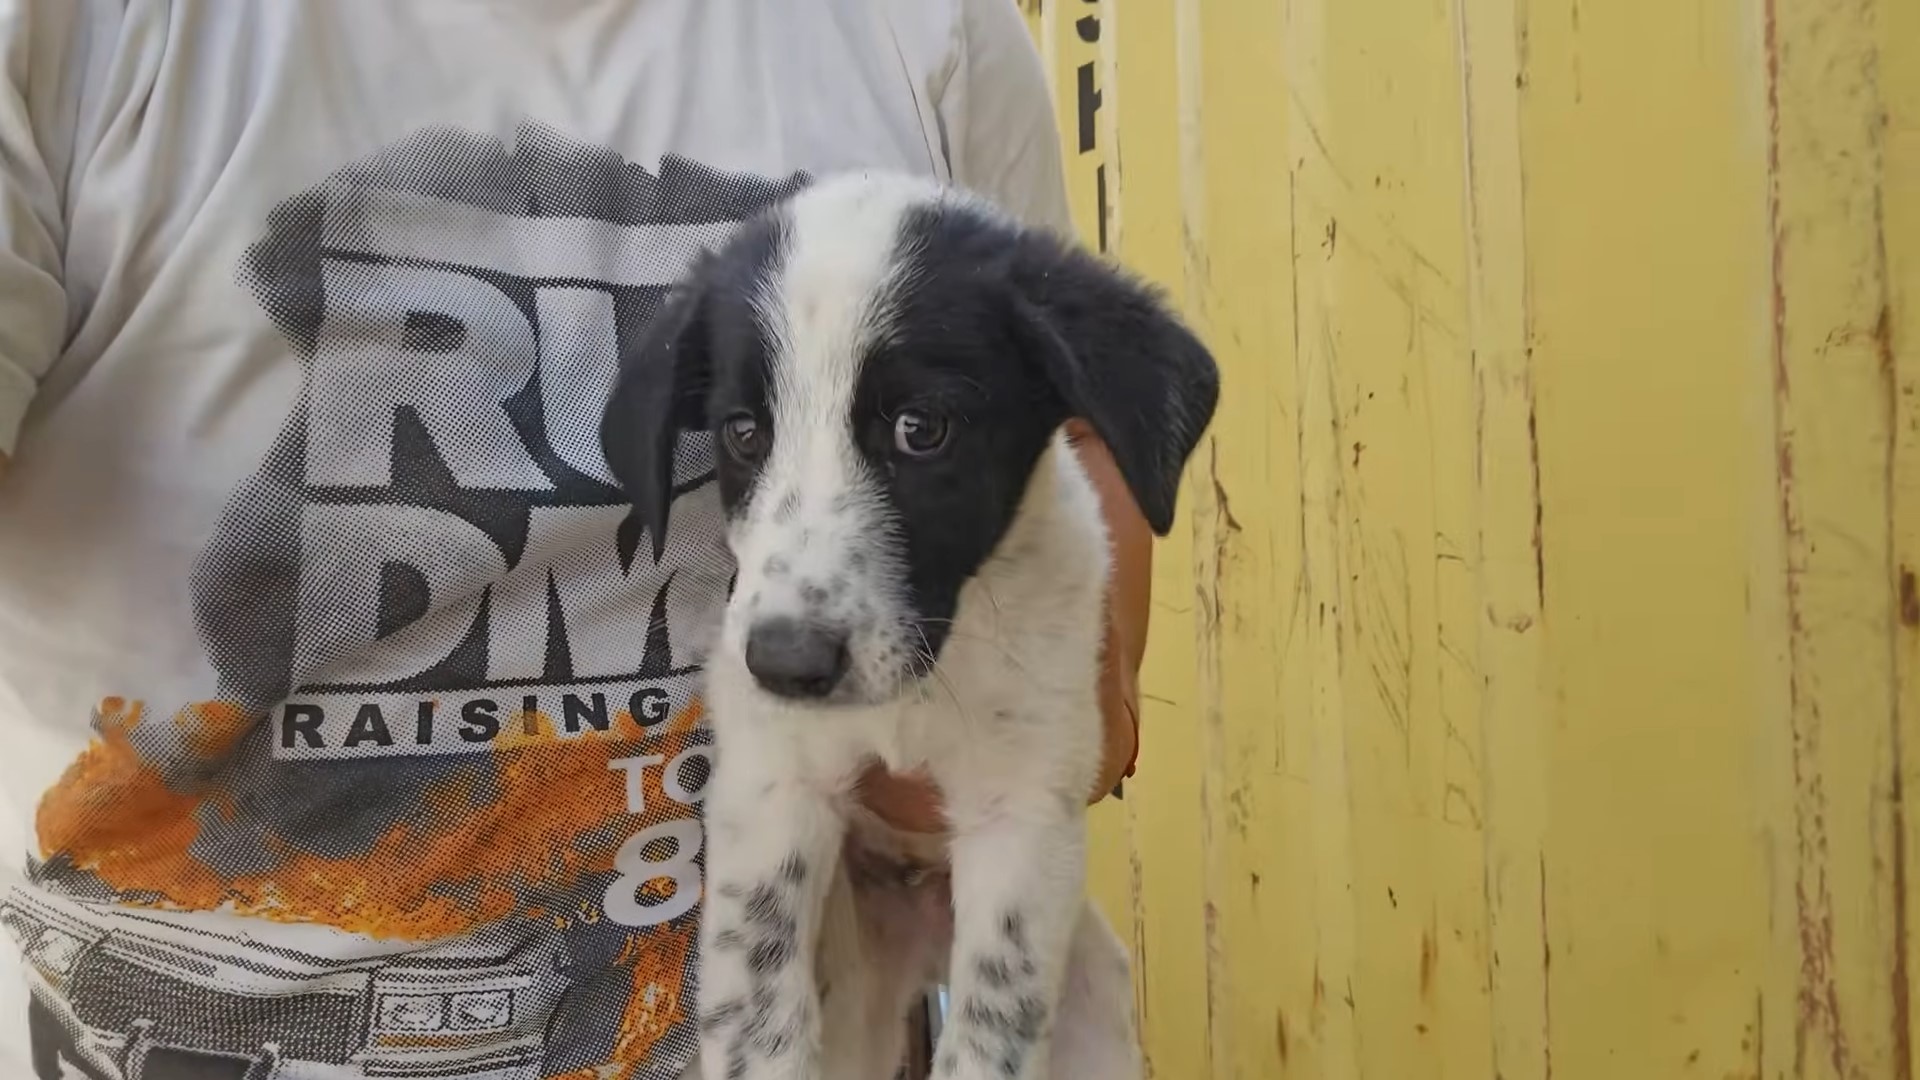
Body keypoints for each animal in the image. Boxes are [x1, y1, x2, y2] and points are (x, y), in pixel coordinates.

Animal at [599, 171, 1213, 1068]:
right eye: (743, 432)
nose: (784, 664)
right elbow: (758, 1024)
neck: (921, 683)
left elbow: (989, 1037)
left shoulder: (1022, 814)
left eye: (921, 429)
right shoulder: (775, 787)